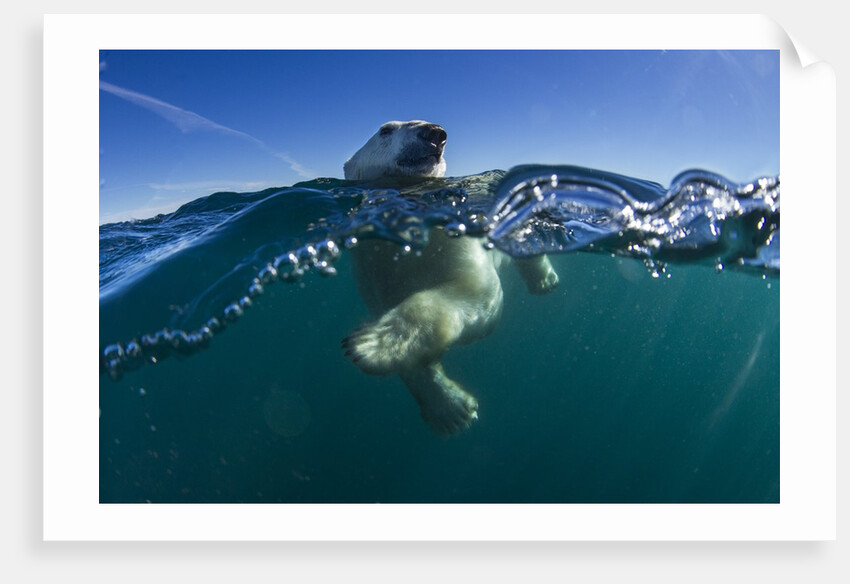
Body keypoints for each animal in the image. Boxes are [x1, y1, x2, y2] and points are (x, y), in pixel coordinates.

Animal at [341, 120, 560, 436]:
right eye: (385, 130)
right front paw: (450, 410)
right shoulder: (375, 273)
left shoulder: (454, 241)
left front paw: (372, 343)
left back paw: (544, 280)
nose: (434, 133)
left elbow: (476, 290)